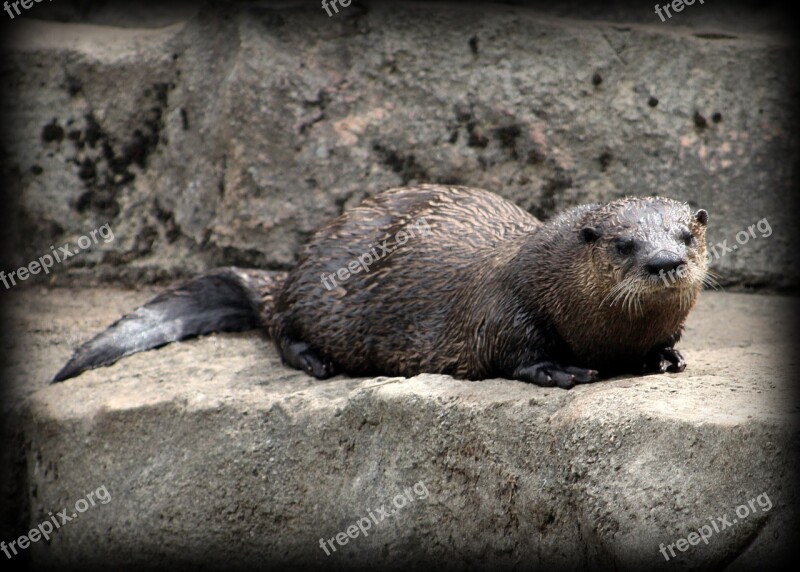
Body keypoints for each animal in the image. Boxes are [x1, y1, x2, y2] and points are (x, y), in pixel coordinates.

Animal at [53, 187, 708, 388]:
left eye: (687, 234)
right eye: (623, 243)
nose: (664, 261)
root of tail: (294, 267)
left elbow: (663, 342)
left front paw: (665, 356)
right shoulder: (503, 304)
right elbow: (511, 349)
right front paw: (560, 370)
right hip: (313, 290)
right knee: (280, 327)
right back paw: (316, 362)